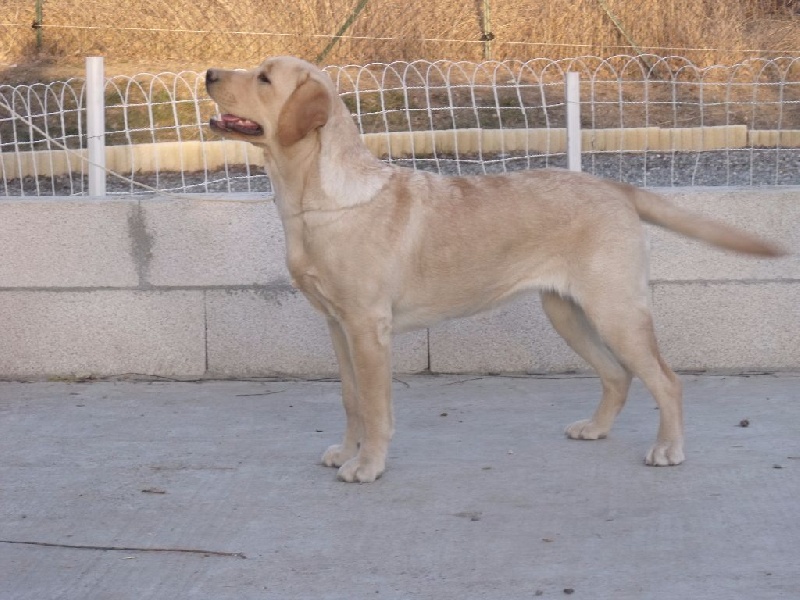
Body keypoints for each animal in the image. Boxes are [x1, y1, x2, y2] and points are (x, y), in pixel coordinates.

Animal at [205, 56, 780, 482]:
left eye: (264, 78)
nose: (208, 74)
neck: (313, 199)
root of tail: (614, 186)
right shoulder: (337, 325)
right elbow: (351, 399)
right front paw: (347, 452)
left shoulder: (369, 327)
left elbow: (375, 405)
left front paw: (367, 465)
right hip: (567, 312)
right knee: (617, 375)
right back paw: (595, 429)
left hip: (616, 310)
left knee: (666, 379)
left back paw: (668, 449)